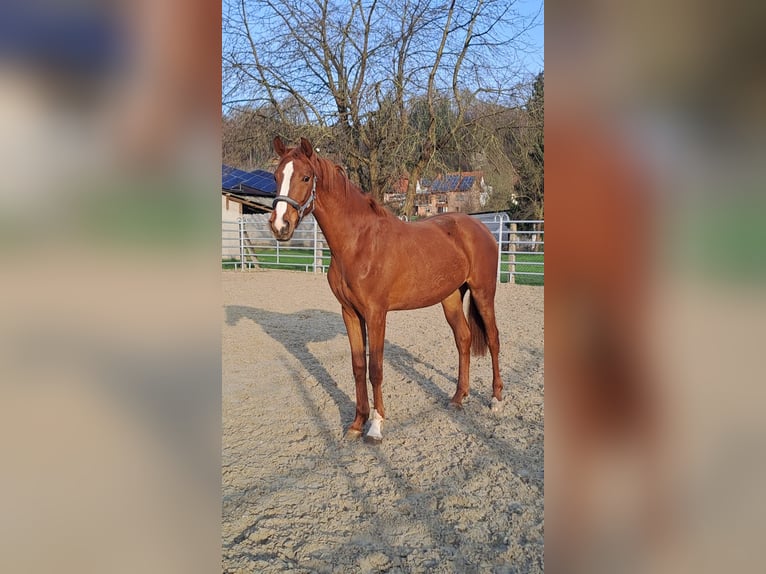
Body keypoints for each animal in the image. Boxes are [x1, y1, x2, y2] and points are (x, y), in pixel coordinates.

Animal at [268, 137, 504, 444]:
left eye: (306, 177)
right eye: (276, 176)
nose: (279, 226)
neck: (358, 242)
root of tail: (479, 227)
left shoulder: (376, 314)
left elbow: (376, 369)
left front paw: (376, 425)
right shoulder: (350, 313)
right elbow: (358, 367)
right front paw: (357, 423)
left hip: (483, 292)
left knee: (493, 339)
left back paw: (496, 399)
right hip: (451, 297)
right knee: (463, 339)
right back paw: (457, 398)